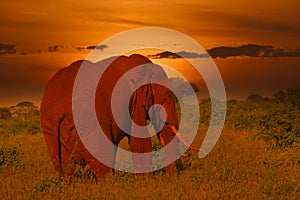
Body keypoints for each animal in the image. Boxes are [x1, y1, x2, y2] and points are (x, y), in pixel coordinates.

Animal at [40, 53, 197, 181]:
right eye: (169, 96)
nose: (172, 177)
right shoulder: (133, 100)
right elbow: (139, 141)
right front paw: (147, 183)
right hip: (90, 120)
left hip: (49, 127)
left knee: (63, 166)